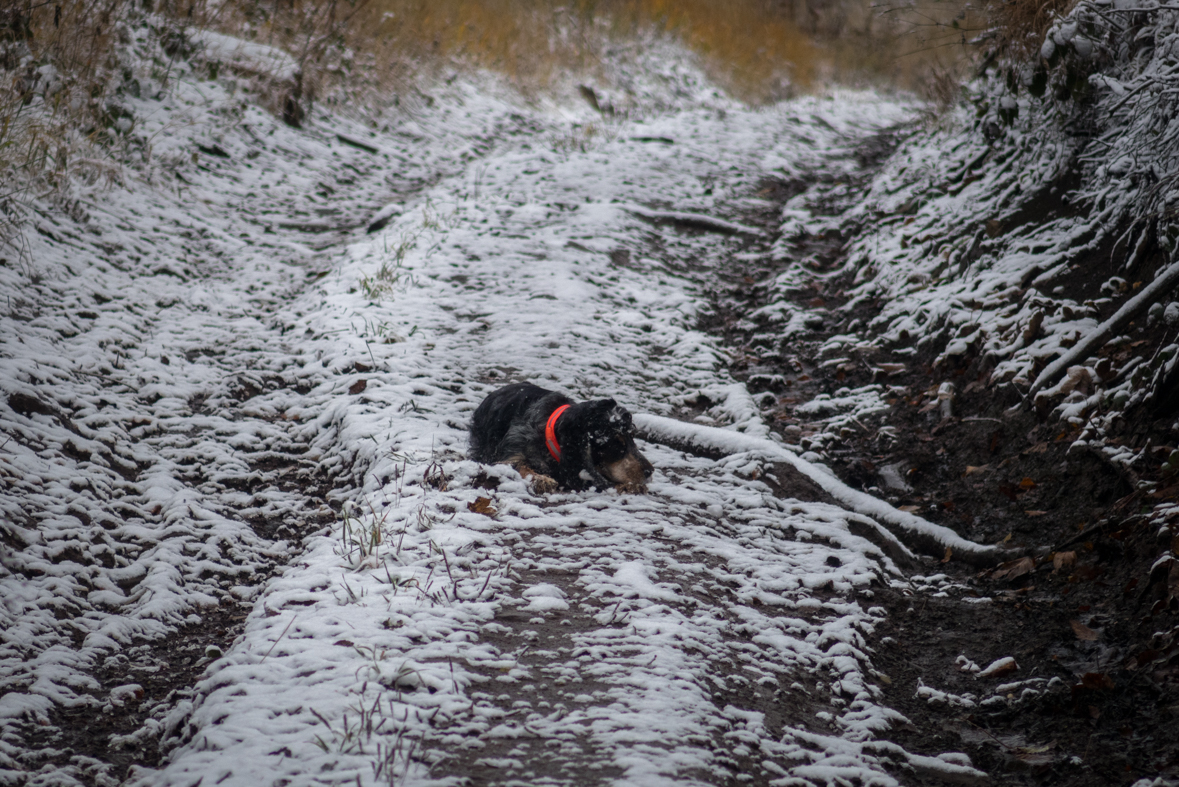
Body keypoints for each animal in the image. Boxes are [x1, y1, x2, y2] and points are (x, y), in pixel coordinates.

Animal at [469, 381, 655, 492]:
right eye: (617, 446)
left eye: (632, 438)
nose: (650, 471)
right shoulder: (510, 456)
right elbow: (520, 466)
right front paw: (542, 479)